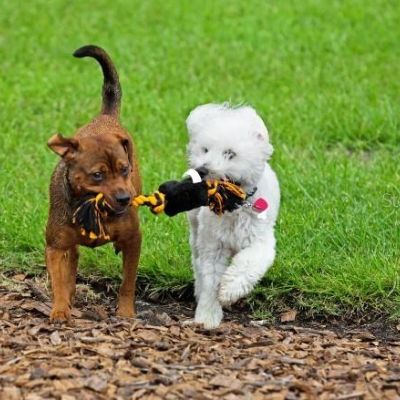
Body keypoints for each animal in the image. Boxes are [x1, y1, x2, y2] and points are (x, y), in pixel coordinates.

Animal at [46, 45, 141, 322]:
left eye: (124, 169)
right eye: (97, 175)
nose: (125, 199)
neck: (92, 208)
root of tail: (105, 116)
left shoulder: (134, 240)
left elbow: (128, 282)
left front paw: (125, 312)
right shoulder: (55, 247)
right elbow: (58, 281)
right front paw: (60, 309)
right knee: (73, 258)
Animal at [186, 103, 280, 328]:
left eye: (230, 153)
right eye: (205, 150)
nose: (201, 169)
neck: (234, 206)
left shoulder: (261, 242)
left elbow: (247, 264)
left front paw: (229, 290)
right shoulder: (213, 246)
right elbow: (210, 280)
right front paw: (207, 316)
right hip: (195, 229)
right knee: (197, 262)